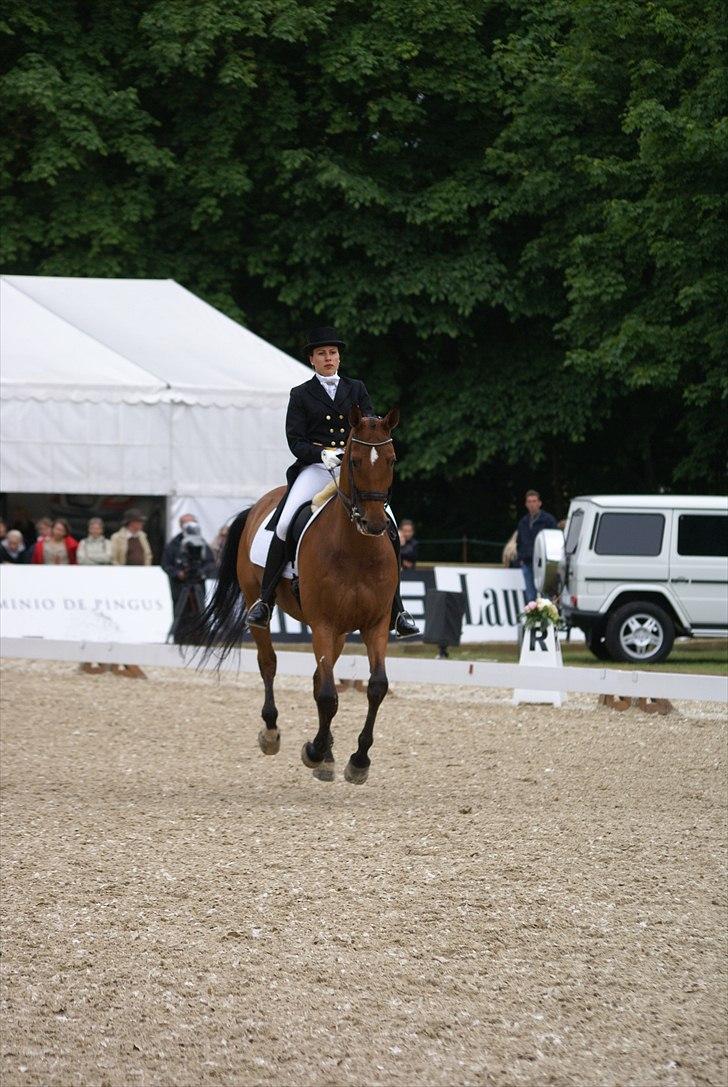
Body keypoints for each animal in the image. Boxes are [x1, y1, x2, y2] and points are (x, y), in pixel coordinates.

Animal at [196, 404, 402, 786]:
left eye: (391, 460)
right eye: (353, 461)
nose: (375, 524)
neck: (356, 549)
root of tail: (262, 502)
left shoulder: (375, 623)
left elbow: (375, 687)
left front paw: (357, 760)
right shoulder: (322, 622)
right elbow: (328, 695)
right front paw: (316, 752)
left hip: (340, 631)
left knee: (320, 679)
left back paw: (328, 752)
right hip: (260, 606)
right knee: (269, 663)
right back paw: (272, 733)